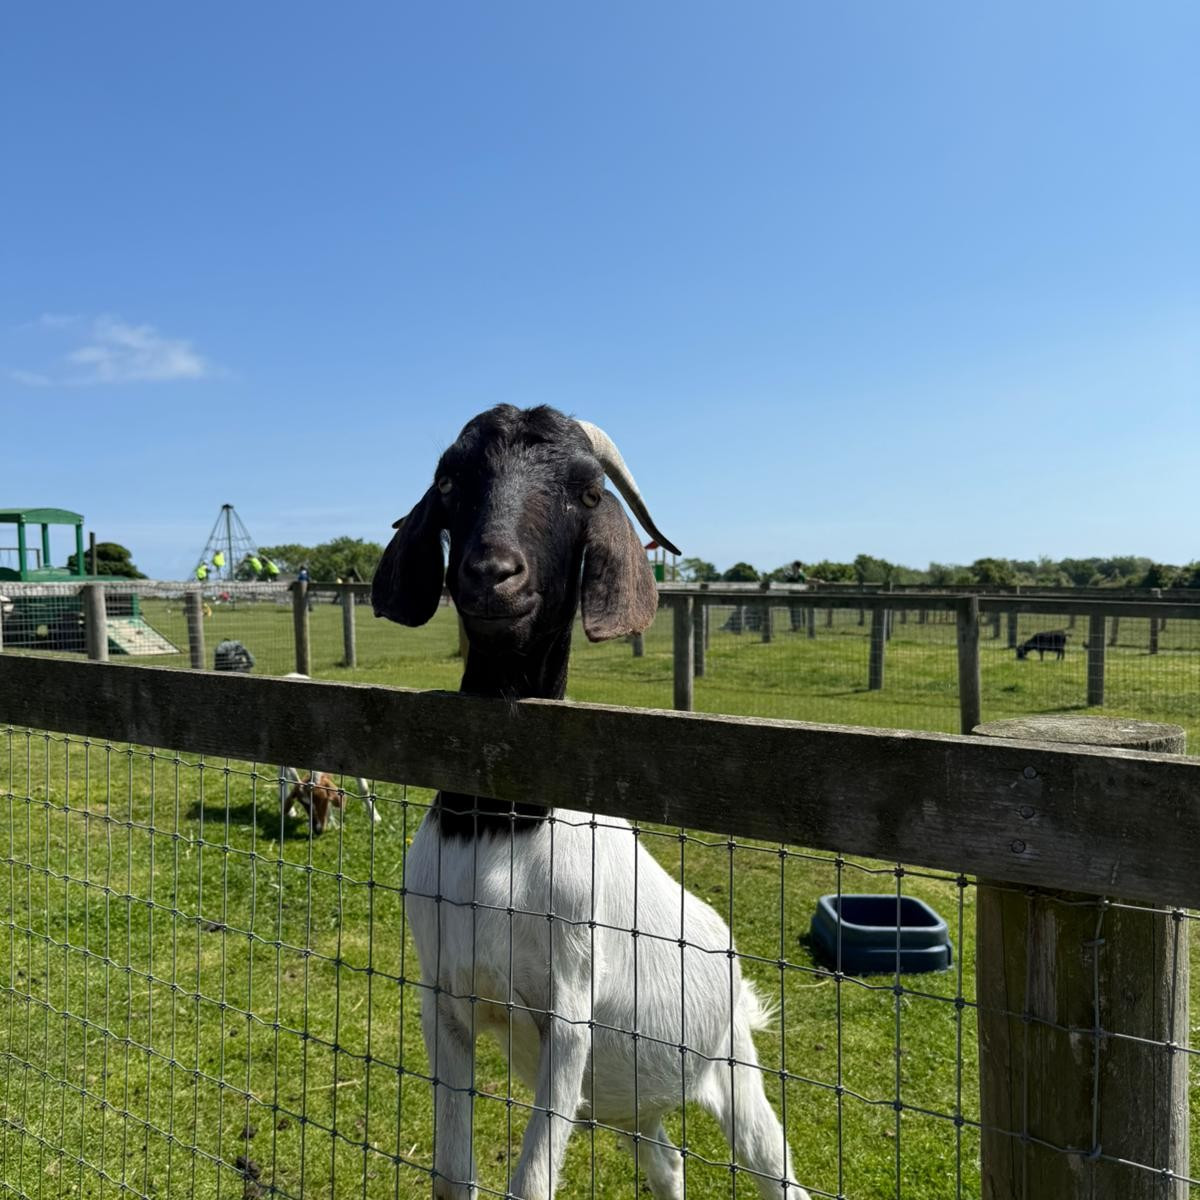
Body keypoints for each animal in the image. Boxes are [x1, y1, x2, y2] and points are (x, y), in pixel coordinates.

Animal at [373, 405, 808, 1200]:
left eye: (586, 492)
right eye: (450, 482)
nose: (492, 574)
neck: (500, 829)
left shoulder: (567, 1016)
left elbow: (531, 1184)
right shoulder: (442, 997)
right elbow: (453, 1176)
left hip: (734, 1070)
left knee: (777, 1170)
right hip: (628, 1104)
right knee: (667, 1160)